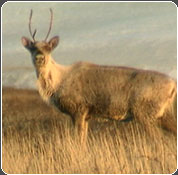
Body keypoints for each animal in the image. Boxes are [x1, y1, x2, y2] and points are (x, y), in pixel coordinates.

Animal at [21, 8, 177, 144]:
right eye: (32, 47)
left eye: (49, 48)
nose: (39, 57)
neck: (58, 84)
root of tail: (173, 84)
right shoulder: (86, 115)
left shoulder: (79, 109)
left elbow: (79, 141)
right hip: (162, 114)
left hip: (144, 112)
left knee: (159, 140)